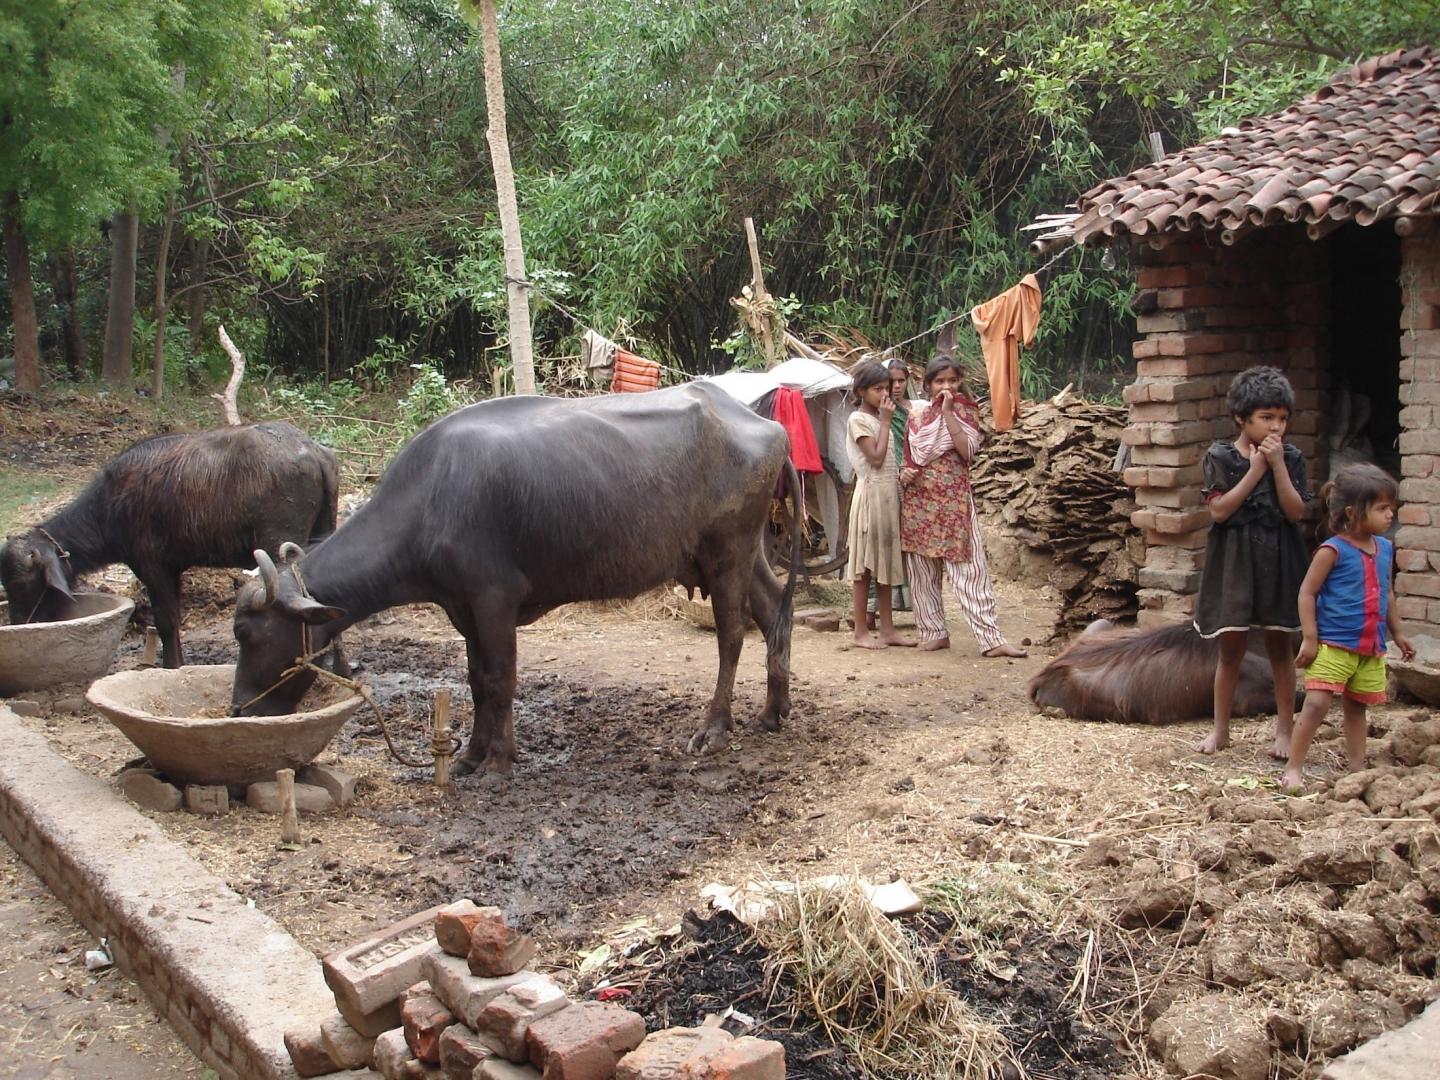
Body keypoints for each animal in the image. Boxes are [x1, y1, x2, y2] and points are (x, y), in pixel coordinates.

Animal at [1, 422, 339, 668]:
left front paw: (171, 665)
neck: (109, 508)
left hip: (277, 543)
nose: (19, 624)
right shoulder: (174, 567)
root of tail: (315, 451)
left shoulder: (151, 565)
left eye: (21, 585)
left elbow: (165, 619)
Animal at [230, 382, 803, 778]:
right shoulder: (462, 608)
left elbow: (501, 678)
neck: (431, 499)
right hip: (741, 552)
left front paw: (499, 759)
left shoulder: (494, 599)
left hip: (727, 551)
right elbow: (477, 679)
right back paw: (774, 711)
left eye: (248, 633)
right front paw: (468, 755)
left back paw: (714, 729)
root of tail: (766, 426)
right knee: (775, 611)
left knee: (732, 634)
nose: (239, 709)